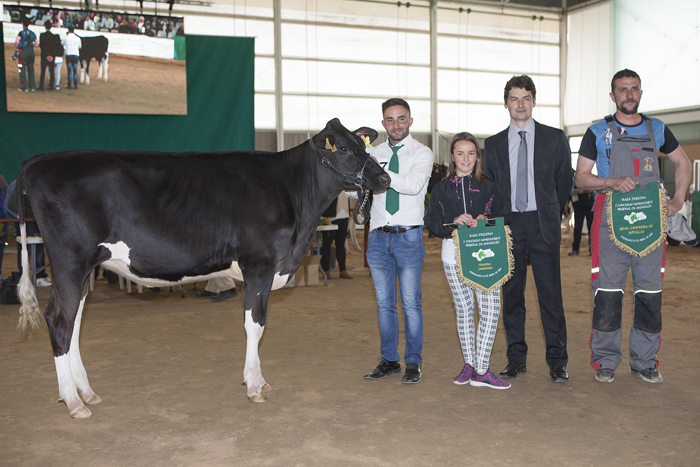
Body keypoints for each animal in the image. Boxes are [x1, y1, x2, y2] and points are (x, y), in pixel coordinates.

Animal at [17, 119, 388, 418]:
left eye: (363, 145)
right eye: (343, 148)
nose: (384, 177)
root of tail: (43, 159)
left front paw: (256, 381)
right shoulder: (259, 264)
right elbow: (255, 325)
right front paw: (255, 386)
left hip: (81, 268)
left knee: (75, 322)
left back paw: (86, 393)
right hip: (70, 261)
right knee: (60, 321)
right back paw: (73, 402)